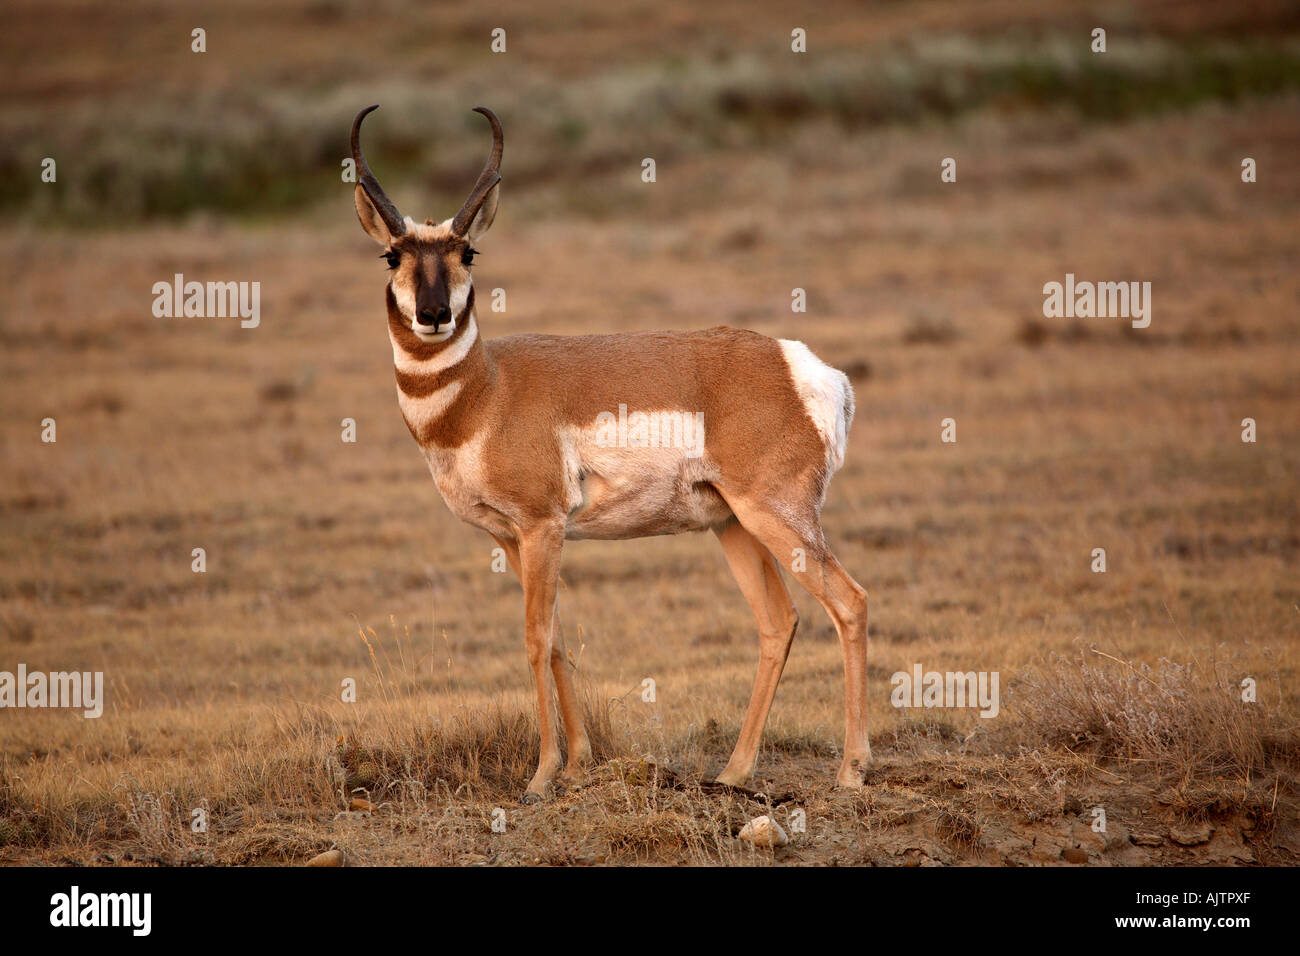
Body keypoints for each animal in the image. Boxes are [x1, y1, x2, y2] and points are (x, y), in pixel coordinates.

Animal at [350, 105, 869, 802]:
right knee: (778, 620)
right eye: (392, 255)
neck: (488, 388)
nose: (434, 314)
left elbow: (535, 638)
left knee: (849, 602)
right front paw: (576, 765)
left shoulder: (542, 527)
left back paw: (851, 772)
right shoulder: (512, 537)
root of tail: (805, 367)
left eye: (467, 252)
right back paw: (733, 772)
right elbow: (557, 640)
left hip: (776, 517)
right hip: (733, 525)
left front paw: (541, 775)